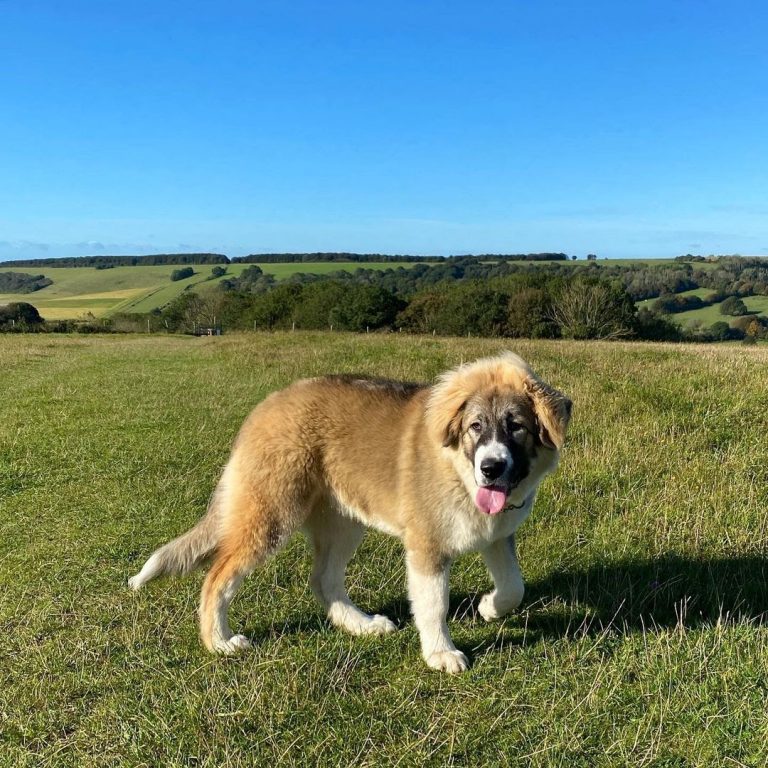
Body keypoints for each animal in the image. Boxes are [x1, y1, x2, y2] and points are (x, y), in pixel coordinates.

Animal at [130, 352, 568, 672]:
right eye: (475, 426)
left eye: (517, 427)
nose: (491, 468)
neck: (457, 469)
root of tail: (265, 407)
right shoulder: (427, 547)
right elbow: (433, 605)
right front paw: (440, 653)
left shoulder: (497, 535)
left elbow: (514, 586)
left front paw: (489, 608)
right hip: (270, 517)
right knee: (216, 577)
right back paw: (219, 642)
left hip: (344, 523)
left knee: (323, 579)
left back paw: (361, 625)